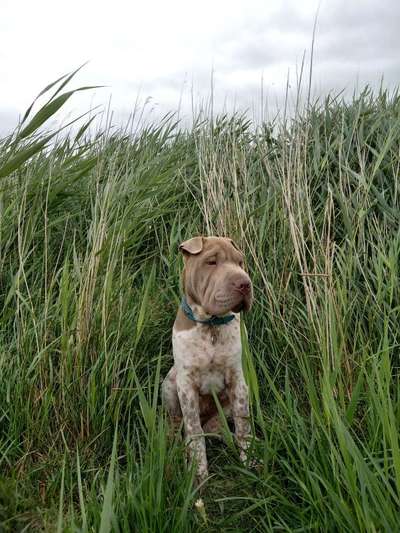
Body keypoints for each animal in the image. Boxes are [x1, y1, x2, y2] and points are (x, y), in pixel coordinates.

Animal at [161, 236, 252, 482]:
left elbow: (244, 426)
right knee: (178, 423)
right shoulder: (186, 387)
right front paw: (200, 475)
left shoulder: (238, 382)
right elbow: (194, 433)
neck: (211, 324)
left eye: (240, 262)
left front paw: (251, 463)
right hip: (169, 383)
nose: (245, 283)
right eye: (211, 262)